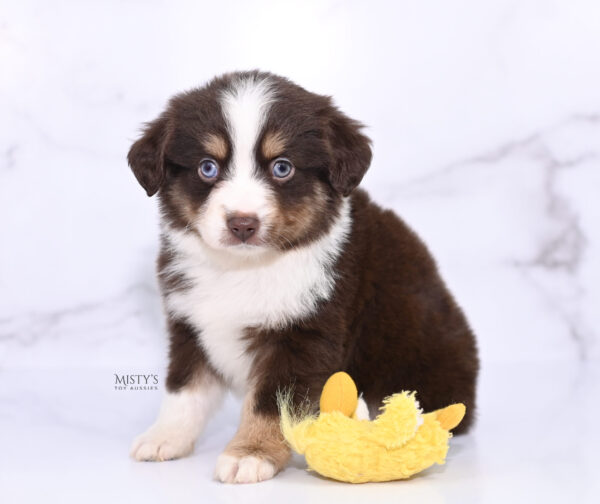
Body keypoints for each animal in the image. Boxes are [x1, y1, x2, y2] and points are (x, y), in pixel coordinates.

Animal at [125, 71, 478, 484]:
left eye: (282, 167)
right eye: (207, 167)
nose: (242, 224)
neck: (244, 268)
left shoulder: (304, 335)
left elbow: (270, 404)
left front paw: (251, 454)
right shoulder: (190, 324)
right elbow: (184, 389)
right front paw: (165, 437)